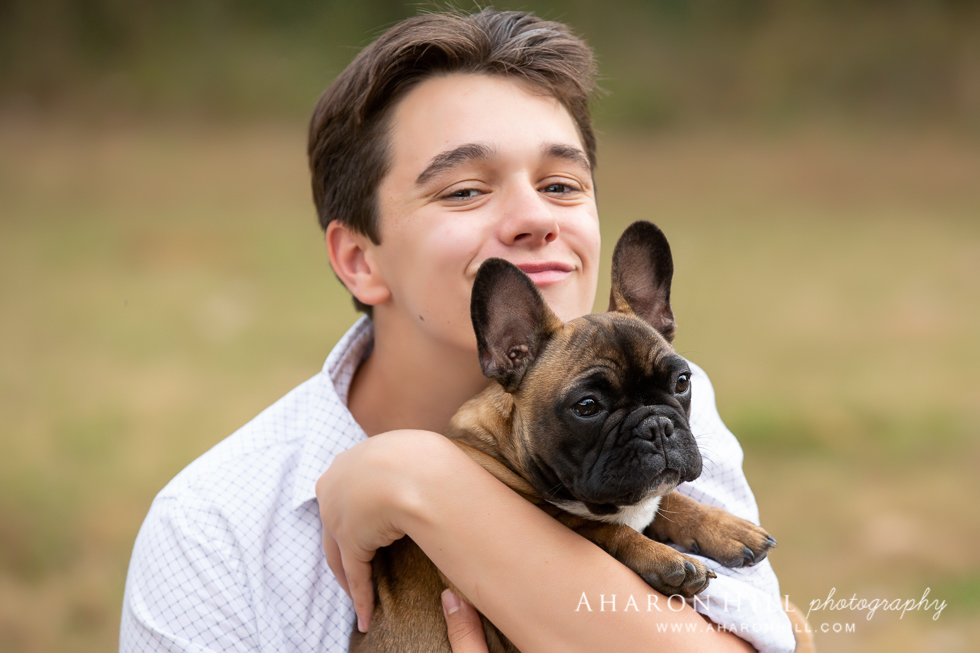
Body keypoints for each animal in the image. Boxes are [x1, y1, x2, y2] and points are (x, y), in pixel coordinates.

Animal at [349, 220, 777, 653]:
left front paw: (726, 527)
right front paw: (664, 558)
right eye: (587, 406)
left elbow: (669, 497)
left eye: (682, 381)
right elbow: (598, 528)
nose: (656, 425)